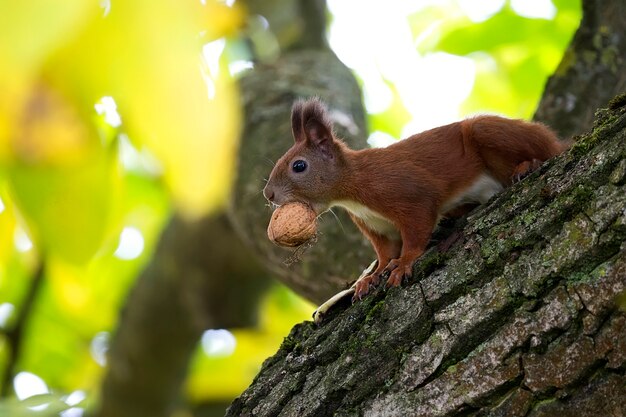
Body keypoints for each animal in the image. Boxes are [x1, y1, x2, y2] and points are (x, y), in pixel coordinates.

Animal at [260, 97, 564, 300]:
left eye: (299, 166)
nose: (268, 194)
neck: (354, 188)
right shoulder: (376, 226)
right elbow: (385, 252)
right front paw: (371, 277)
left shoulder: (408, 193)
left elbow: (417, 231)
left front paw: (404, 264)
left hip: (490, 133)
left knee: (541, 152)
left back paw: (527, 165)